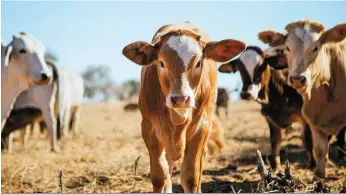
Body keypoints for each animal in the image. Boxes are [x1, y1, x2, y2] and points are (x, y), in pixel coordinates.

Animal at [121, 22, 246, 192]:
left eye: (198, 62)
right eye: (161, 63)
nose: (180, 99)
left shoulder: (201, 127)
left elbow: (191, 177)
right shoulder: (148, 128)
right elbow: (159, 176)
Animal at [219, 38, 316, 170]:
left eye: (261, 67)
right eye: (239, 69)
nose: (246, 94)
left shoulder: (305, 117)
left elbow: (308, 140)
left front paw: (312, 164)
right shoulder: (270, 119)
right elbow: (275, 141)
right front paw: (276, 167)